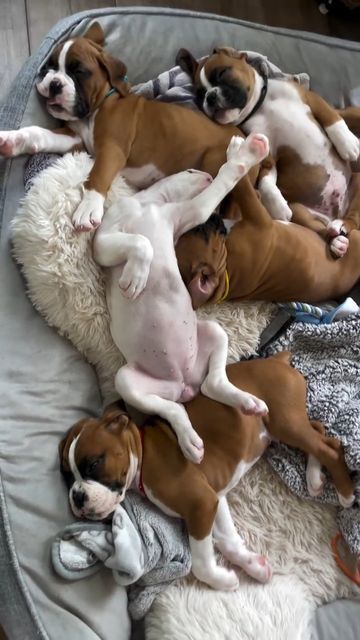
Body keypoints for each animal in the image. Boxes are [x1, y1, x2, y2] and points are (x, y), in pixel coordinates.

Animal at [0, 22, 264, 232]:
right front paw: (12, 140)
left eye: (79, 71)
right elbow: (40, 133)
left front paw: (89, 206)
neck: (97, 107)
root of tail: (242, 132)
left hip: (213, 160)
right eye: (49, 67)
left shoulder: (112, 149)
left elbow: (98, 174)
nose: (54, 83)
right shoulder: (75, 139)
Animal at [59, 356, 354, 592]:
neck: (142, 454)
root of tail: (276, 358)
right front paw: (254, 566)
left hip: (285, 422)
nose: (77, 496)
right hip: (287, 425)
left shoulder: (201, 504)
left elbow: (200, 563)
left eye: (93, 463)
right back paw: (314, 477)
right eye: (68, 476)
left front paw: (224, 580)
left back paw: (346, 492)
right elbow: (229, 542)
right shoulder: (215, 500)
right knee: (321, 432)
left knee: (330, 448)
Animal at [93, 134, 270, 464]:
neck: (148, 205)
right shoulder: (102, 241)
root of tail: (184, 384)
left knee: (213, 383)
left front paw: (241, 155)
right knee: (173, 408)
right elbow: (142, 242)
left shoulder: (187, 215)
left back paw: (244, 402)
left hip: (213, 332)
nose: (207, 174)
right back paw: (189, 439)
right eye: (189, 170)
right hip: (129, 382)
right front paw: (136, 277)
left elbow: (217, 190)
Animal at [176, 47, 360, 258]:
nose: (210, 97)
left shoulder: (312, 99)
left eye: (222, 73)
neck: (260, 108)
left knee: (352, 219)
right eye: (199, 95)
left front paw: (348, 144)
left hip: (357, 182)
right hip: (301, 211)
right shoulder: (268, 155)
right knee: (324, 228)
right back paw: (337, 239)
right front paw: (277, 206)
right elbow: (265, 181)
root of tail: (336, 213)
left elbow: (332, 117)